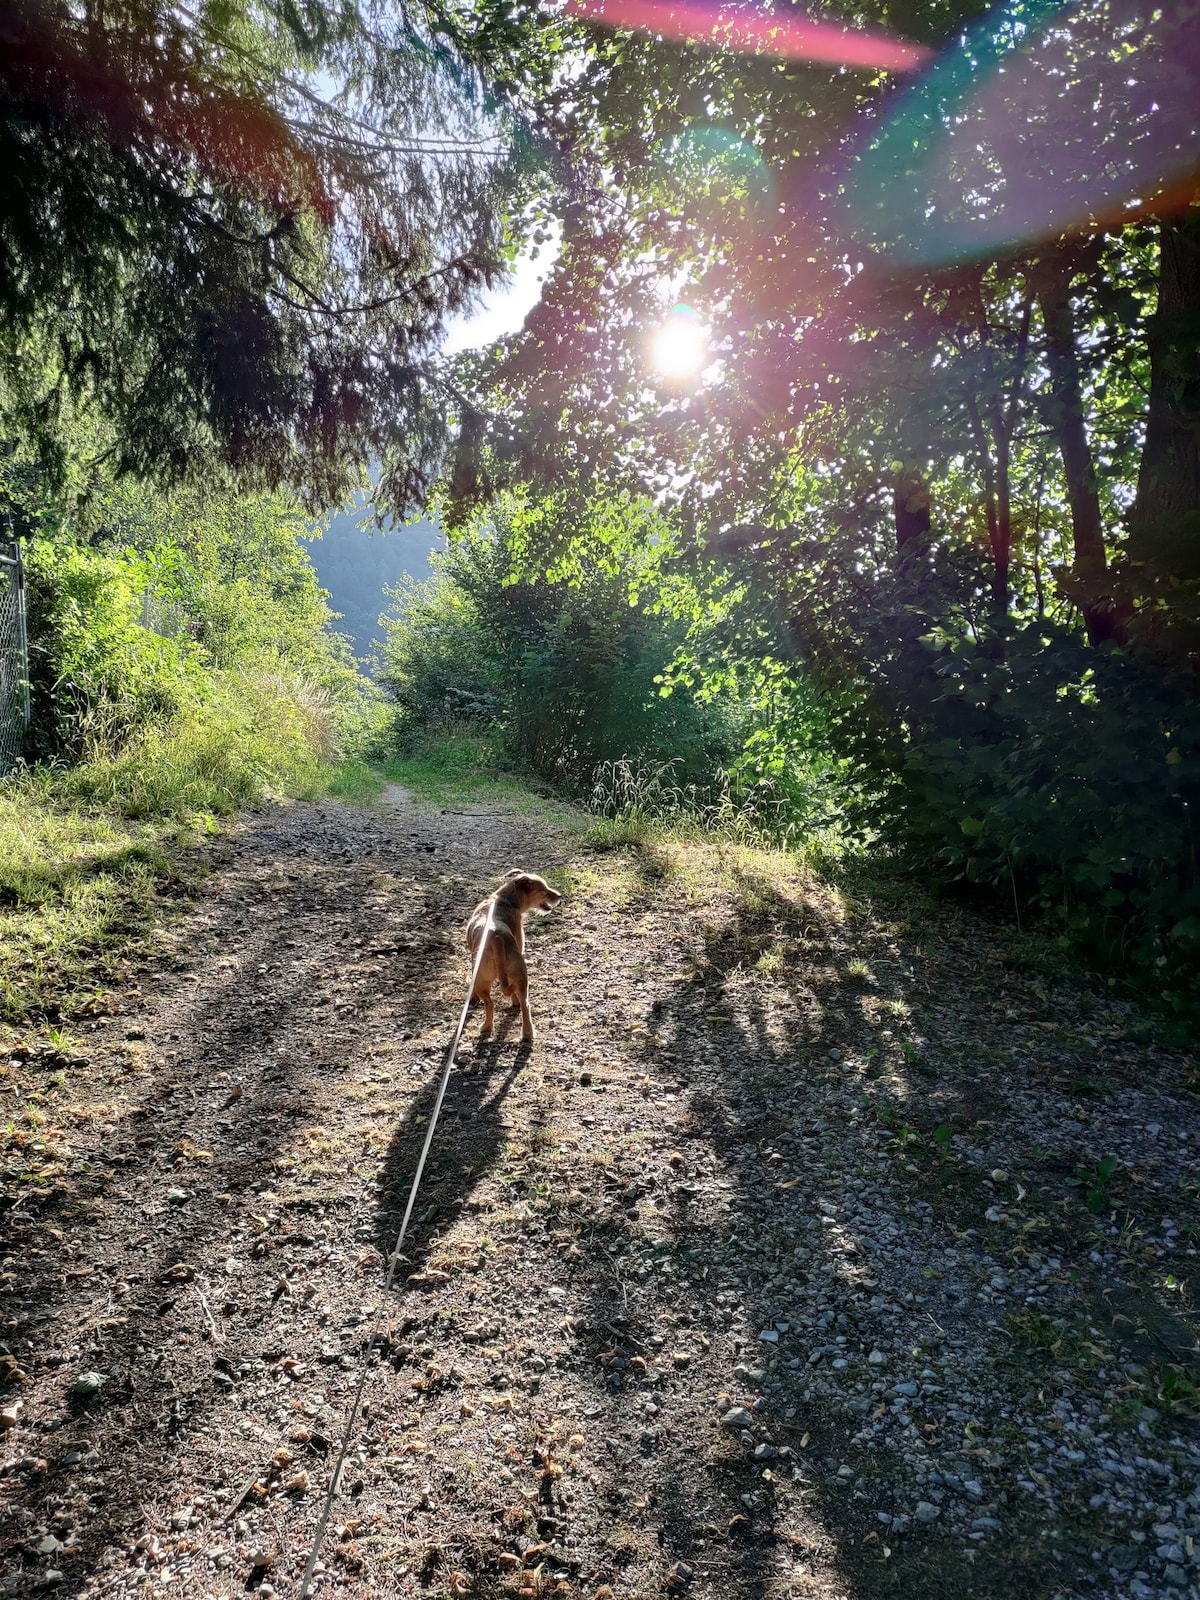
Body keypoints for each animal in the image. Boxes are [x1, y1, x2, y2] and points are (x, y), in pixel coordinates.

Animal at [470, 870, 563, 1043]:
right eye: (544, 890)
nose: (560, 896)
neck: (505, 899)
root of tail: (496, 938)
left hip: (482, 980)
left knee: (490, 1003)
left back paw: (487, 1027)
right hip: (519, 976)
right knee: (524, 1004)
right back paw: (527, 1033)